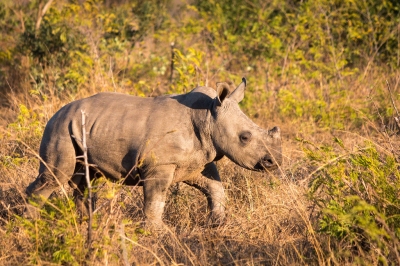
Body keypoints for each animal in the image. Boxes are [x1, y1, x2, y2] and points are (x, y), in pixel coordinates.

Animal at [25, 78, 282, 227]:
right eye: (245, 138)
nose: (274, 161)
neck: (209, 116)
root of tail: (56, 113)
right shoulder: (159, 165)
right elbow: (155, 200)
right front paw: (157, 232)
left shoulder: (198, 161)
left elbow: (215, 188)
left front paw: (216, 223)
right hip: (60, 127)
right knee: (56, 176)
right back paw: (30, 225)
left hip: (79, 127)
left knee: (85, 180)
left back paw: (87, 222)